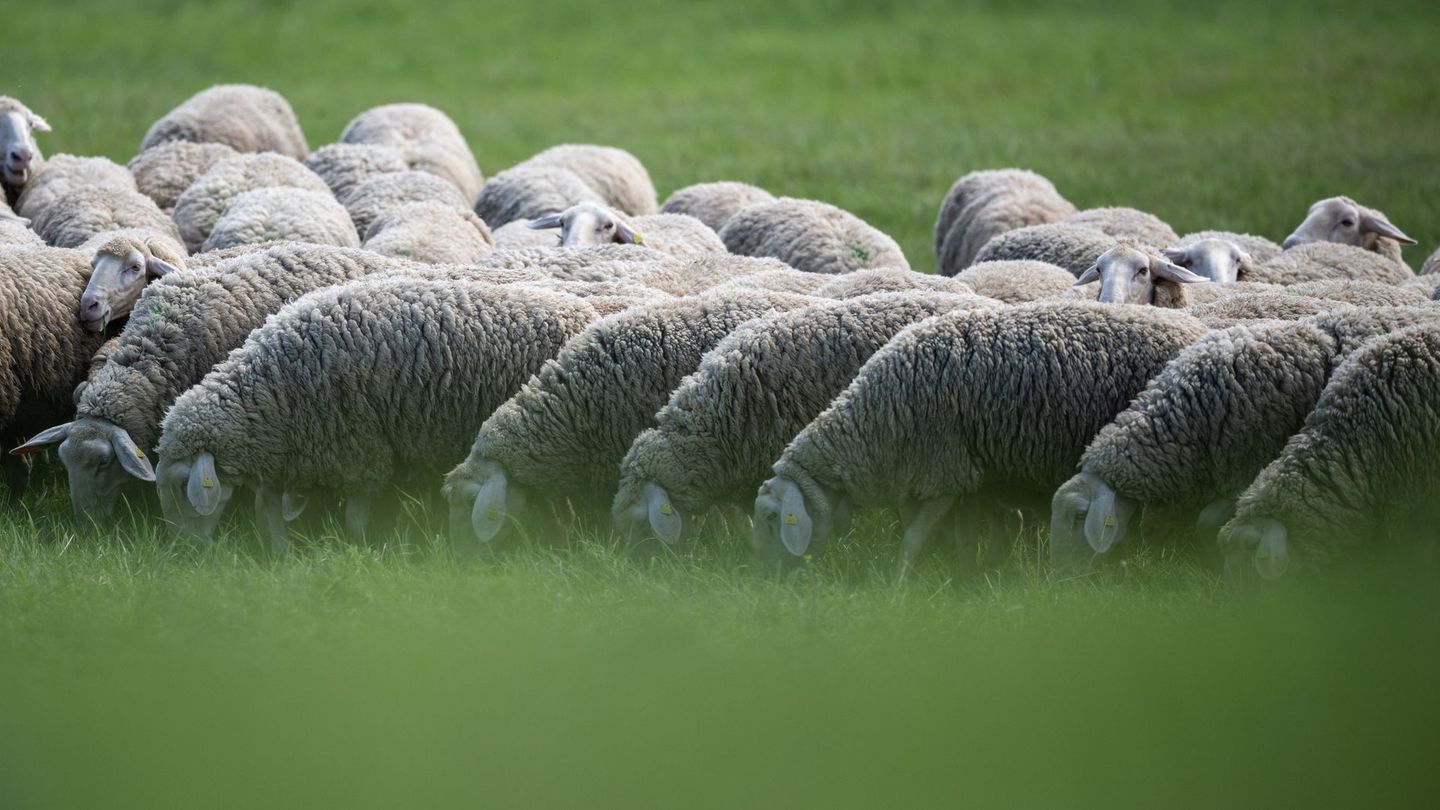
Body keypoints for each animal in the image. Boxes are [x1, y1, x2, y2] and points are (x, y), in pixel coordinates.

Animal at [155, 280, 597, 548]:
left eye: (181, 485)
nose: (183, 551)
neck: (269, 388)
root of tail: (587, 314)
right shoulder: (287, 454)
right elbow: (268, 513)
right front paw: (279, 553)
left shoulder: (360, 453)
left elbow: (355, 516)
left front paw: (360, 550)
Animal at [754, 302, 1209, 572]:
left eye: (773, 518)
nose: (767, 580)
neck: (872, 422)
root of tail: (1195, 327)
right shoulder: (967, 477)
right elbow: (962, 536)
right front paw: (971, 575)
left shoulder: (943, 473)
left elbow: (914, 540)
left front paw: (899, 582)